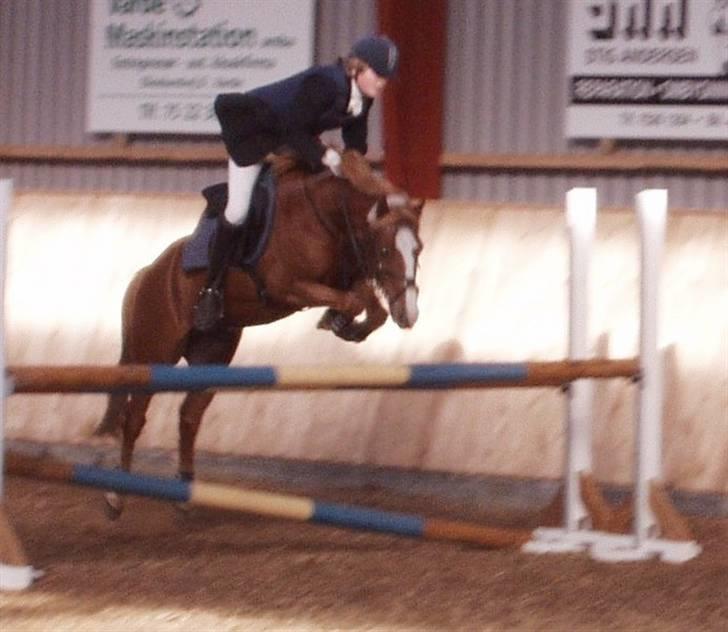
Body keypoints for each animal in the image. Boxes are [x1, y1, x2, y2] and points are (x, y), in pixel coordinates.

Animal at [94, 151, 424, 516]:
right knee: (134, 418)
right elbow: (352, 300)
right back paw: (115, 496)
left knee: (189, 415)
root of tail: (146, 275)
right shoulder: (290, 288)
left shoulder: (345, 278)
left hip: (212, 356)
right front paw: (337, 320)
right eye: (385, 251)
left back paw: (184, 490)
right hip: (156, 355)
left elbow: (371, 307)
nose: (410, 314)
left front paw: (344, 324)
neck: (327, 217)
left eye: (418, 249)